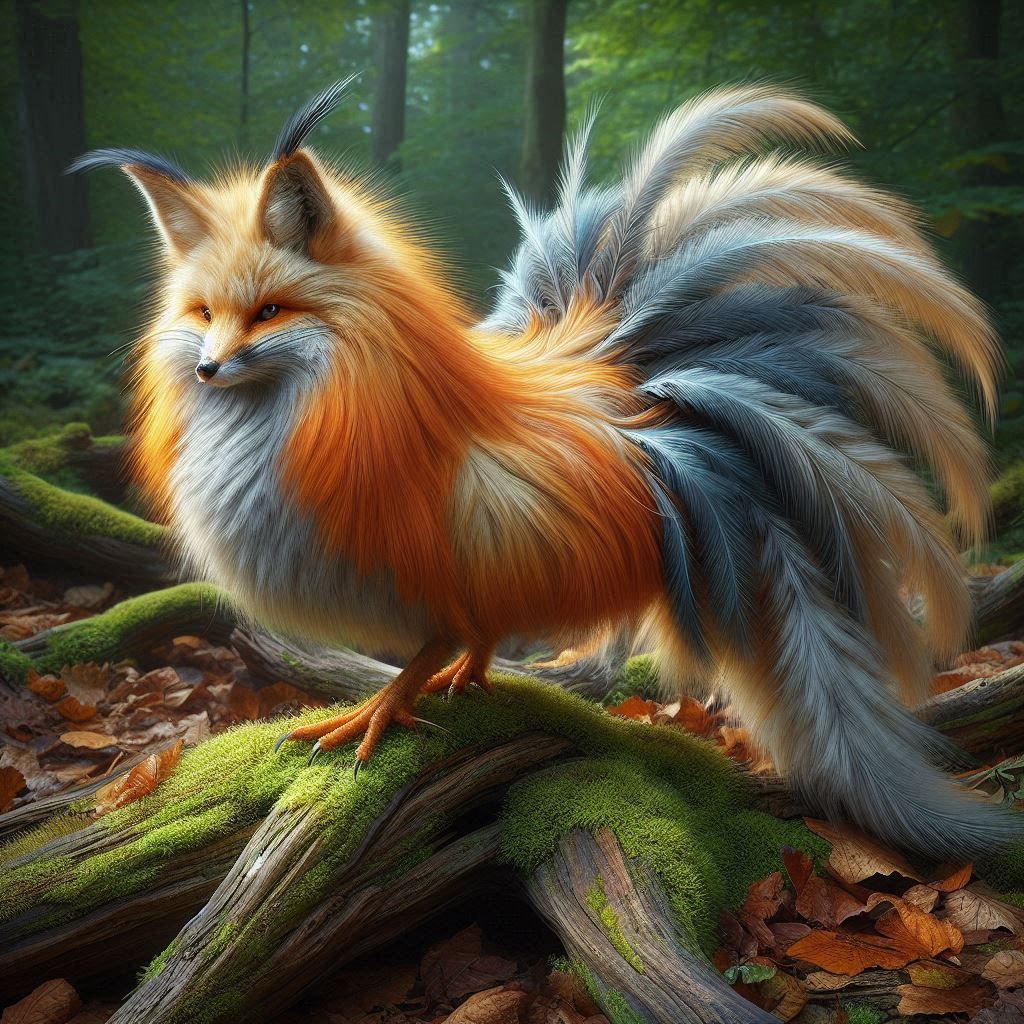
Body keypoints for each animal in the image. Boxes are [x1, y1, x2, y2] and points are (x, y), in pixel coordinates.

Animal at [72, 80, 1019, 857]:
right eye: (202, 313)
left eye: (270, 312)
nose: (208, 369)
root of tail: (629, 405)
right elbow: (467, 639)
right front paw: (447, 688)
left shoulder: (427, 582)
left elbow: (427, 647)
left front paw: (375, 716)